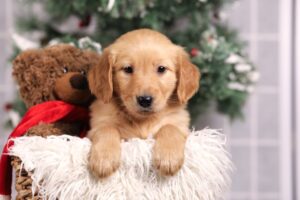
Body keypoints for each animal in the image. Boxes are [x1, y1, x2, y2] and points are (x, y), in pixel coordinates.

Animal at [87, 28, 199, 178]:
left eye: (161, 69)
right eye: (127, 69)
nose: (145, 100)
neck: (143, 121)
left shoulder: (181, 125)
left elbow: (170, 127)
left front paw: (169, 157)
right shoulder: (96, 125)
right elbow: (106, 128)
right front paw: (104, 159)